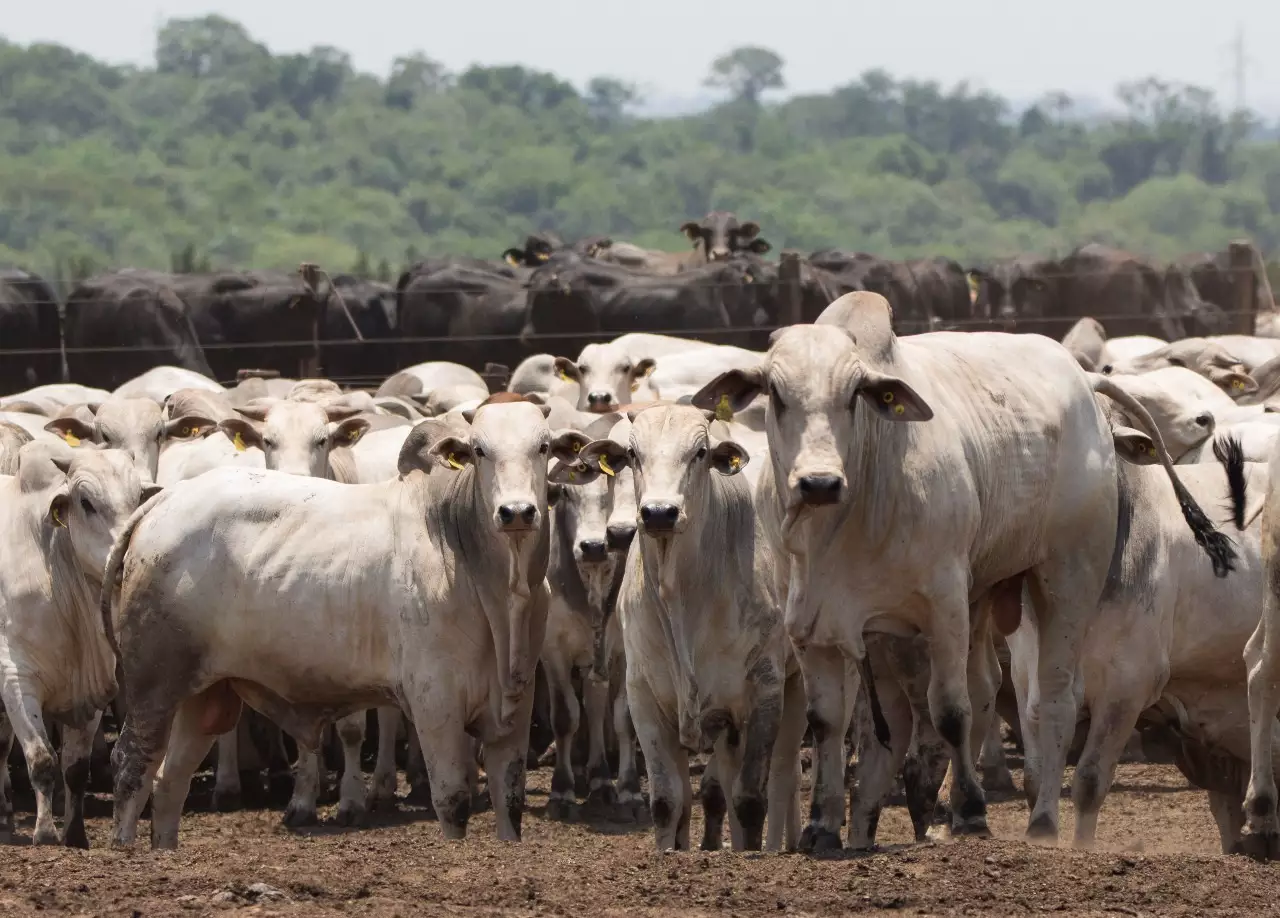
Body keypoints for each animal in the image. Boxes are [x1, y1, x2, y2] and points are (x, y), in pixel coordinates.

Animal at [0, 442, 161, 846]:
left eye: (137, 498)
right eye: (86, 502)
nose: (125, 558)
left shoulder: (93, 694)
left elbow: (75, 769)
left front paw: (75, 835)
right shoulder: (16, 679)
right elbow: (42, 760)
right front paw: (44, 833)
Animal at [104, 402, 589, 848]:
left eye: (543, 447)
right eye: (479, 450)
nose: (517, 512)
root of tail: (164, 500)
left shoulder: (515, 709)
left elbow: (511, 802)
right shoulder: (436, 706)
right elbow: (452, 801)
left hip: (206, 696)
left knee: (170, 781)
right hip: (153, 685)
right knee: (131, 766)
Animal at [579, 404, 806, 851]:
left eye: (700, 452)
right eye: (632, 454)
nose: (658, 513)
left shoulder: (765, 690)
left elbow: (750, 798)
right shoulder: (644, 696)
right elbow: (668, 801)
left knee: (785, 775)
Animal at [690, 291, 1235, 847]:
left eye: (854, 395)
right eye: (776, 395)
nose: (818, 482)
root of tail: (1083, 378)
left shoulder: (943, 604)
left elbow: (951, 713)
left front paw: (973, 811)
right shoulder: (808, 621)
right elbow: (827, 723)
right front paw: (822, 828)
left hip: (1065, 578)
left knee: (1053, 696)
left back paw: (1041, 822)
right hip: (985, 597)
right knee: (987, 688)